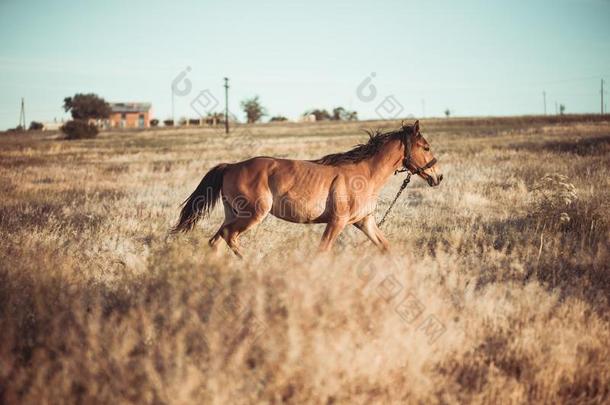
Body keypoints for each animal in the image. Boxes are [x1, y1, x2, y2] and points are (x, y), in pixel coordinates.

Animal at [172, 120, 442, 256]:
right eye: (426, 147)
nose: (438, 176)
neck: (364, 174)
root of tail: (231, 166)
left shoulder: (365, 222)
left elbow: (386, 247)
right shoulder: (337, 222)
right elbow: (322, 251)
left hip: (233, 214)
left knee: (216, 241)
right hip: (252, 215)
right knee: (229, 237)